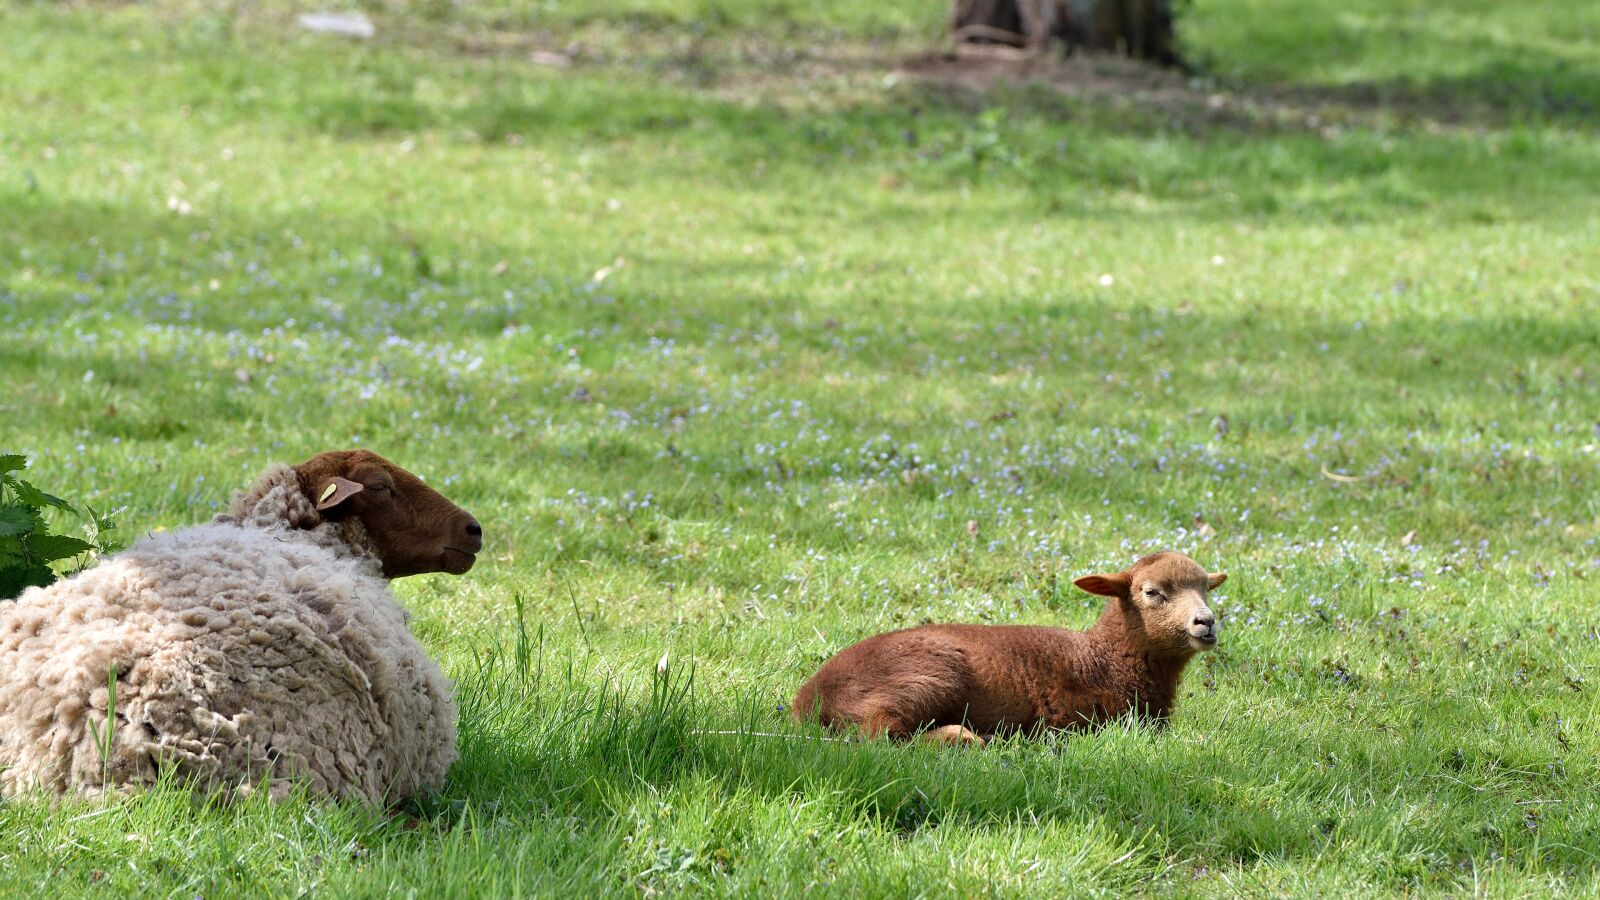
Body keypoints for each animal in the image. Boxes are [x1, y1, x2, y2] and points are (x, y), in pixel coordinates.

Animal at [791, 551, 1225, 746]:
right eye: (1152, 592)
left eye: (1206, 588)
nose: (1206, 622)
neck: (1102, 659)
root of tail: (809, 699)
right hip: (925, 676)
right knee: (880, 734)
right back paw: (966, 738)